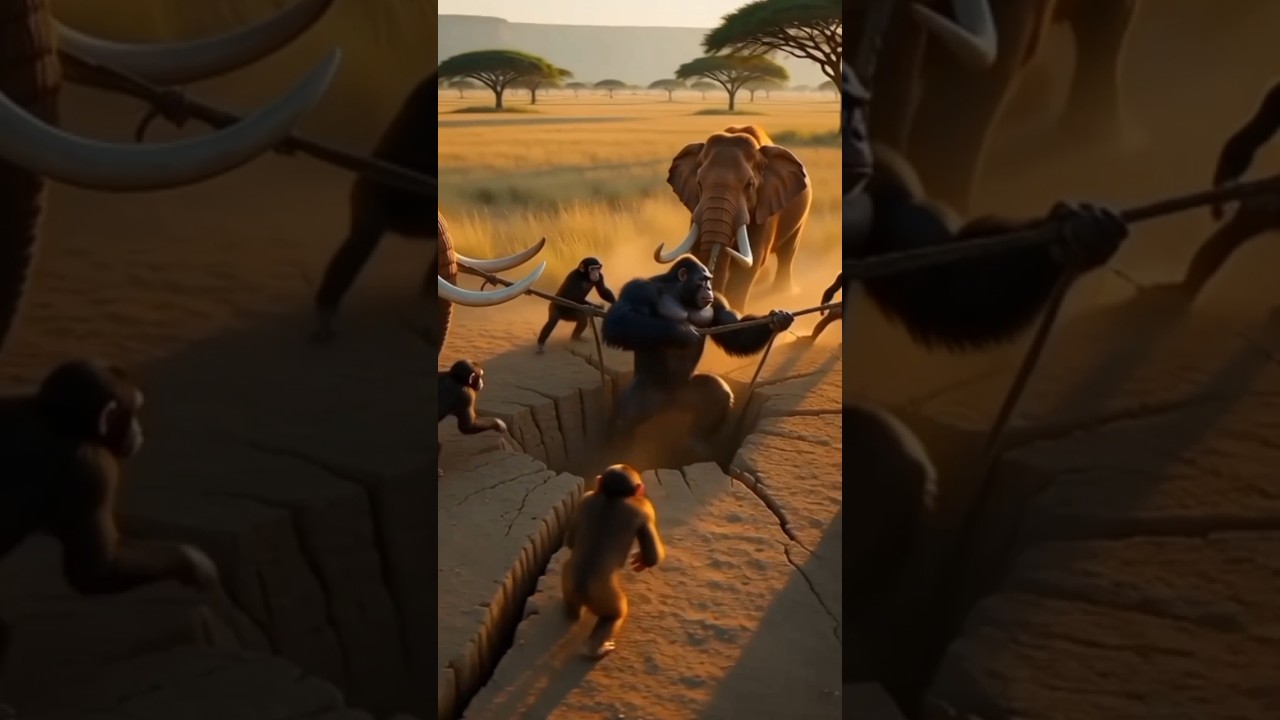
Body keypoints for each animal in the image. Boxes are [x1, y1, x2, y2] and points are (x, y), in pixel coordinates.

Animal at [0, 360, 222, 688]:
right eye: (134, 412)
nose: (139, 431)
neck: (56, 421)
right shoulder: (95, 472)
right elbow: (94, 572)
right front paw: (191, 561)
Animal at [561, 464, 664, 659]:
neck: (613, 495)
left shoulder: (585, 498)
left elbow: (570, 541)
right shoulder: (645, 508)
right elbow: (652, 555)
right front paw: (643, 561)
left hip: (568, 581)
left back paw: (571, 613)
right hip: (604, 595)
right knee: (615, 614)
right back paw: (596, 648)